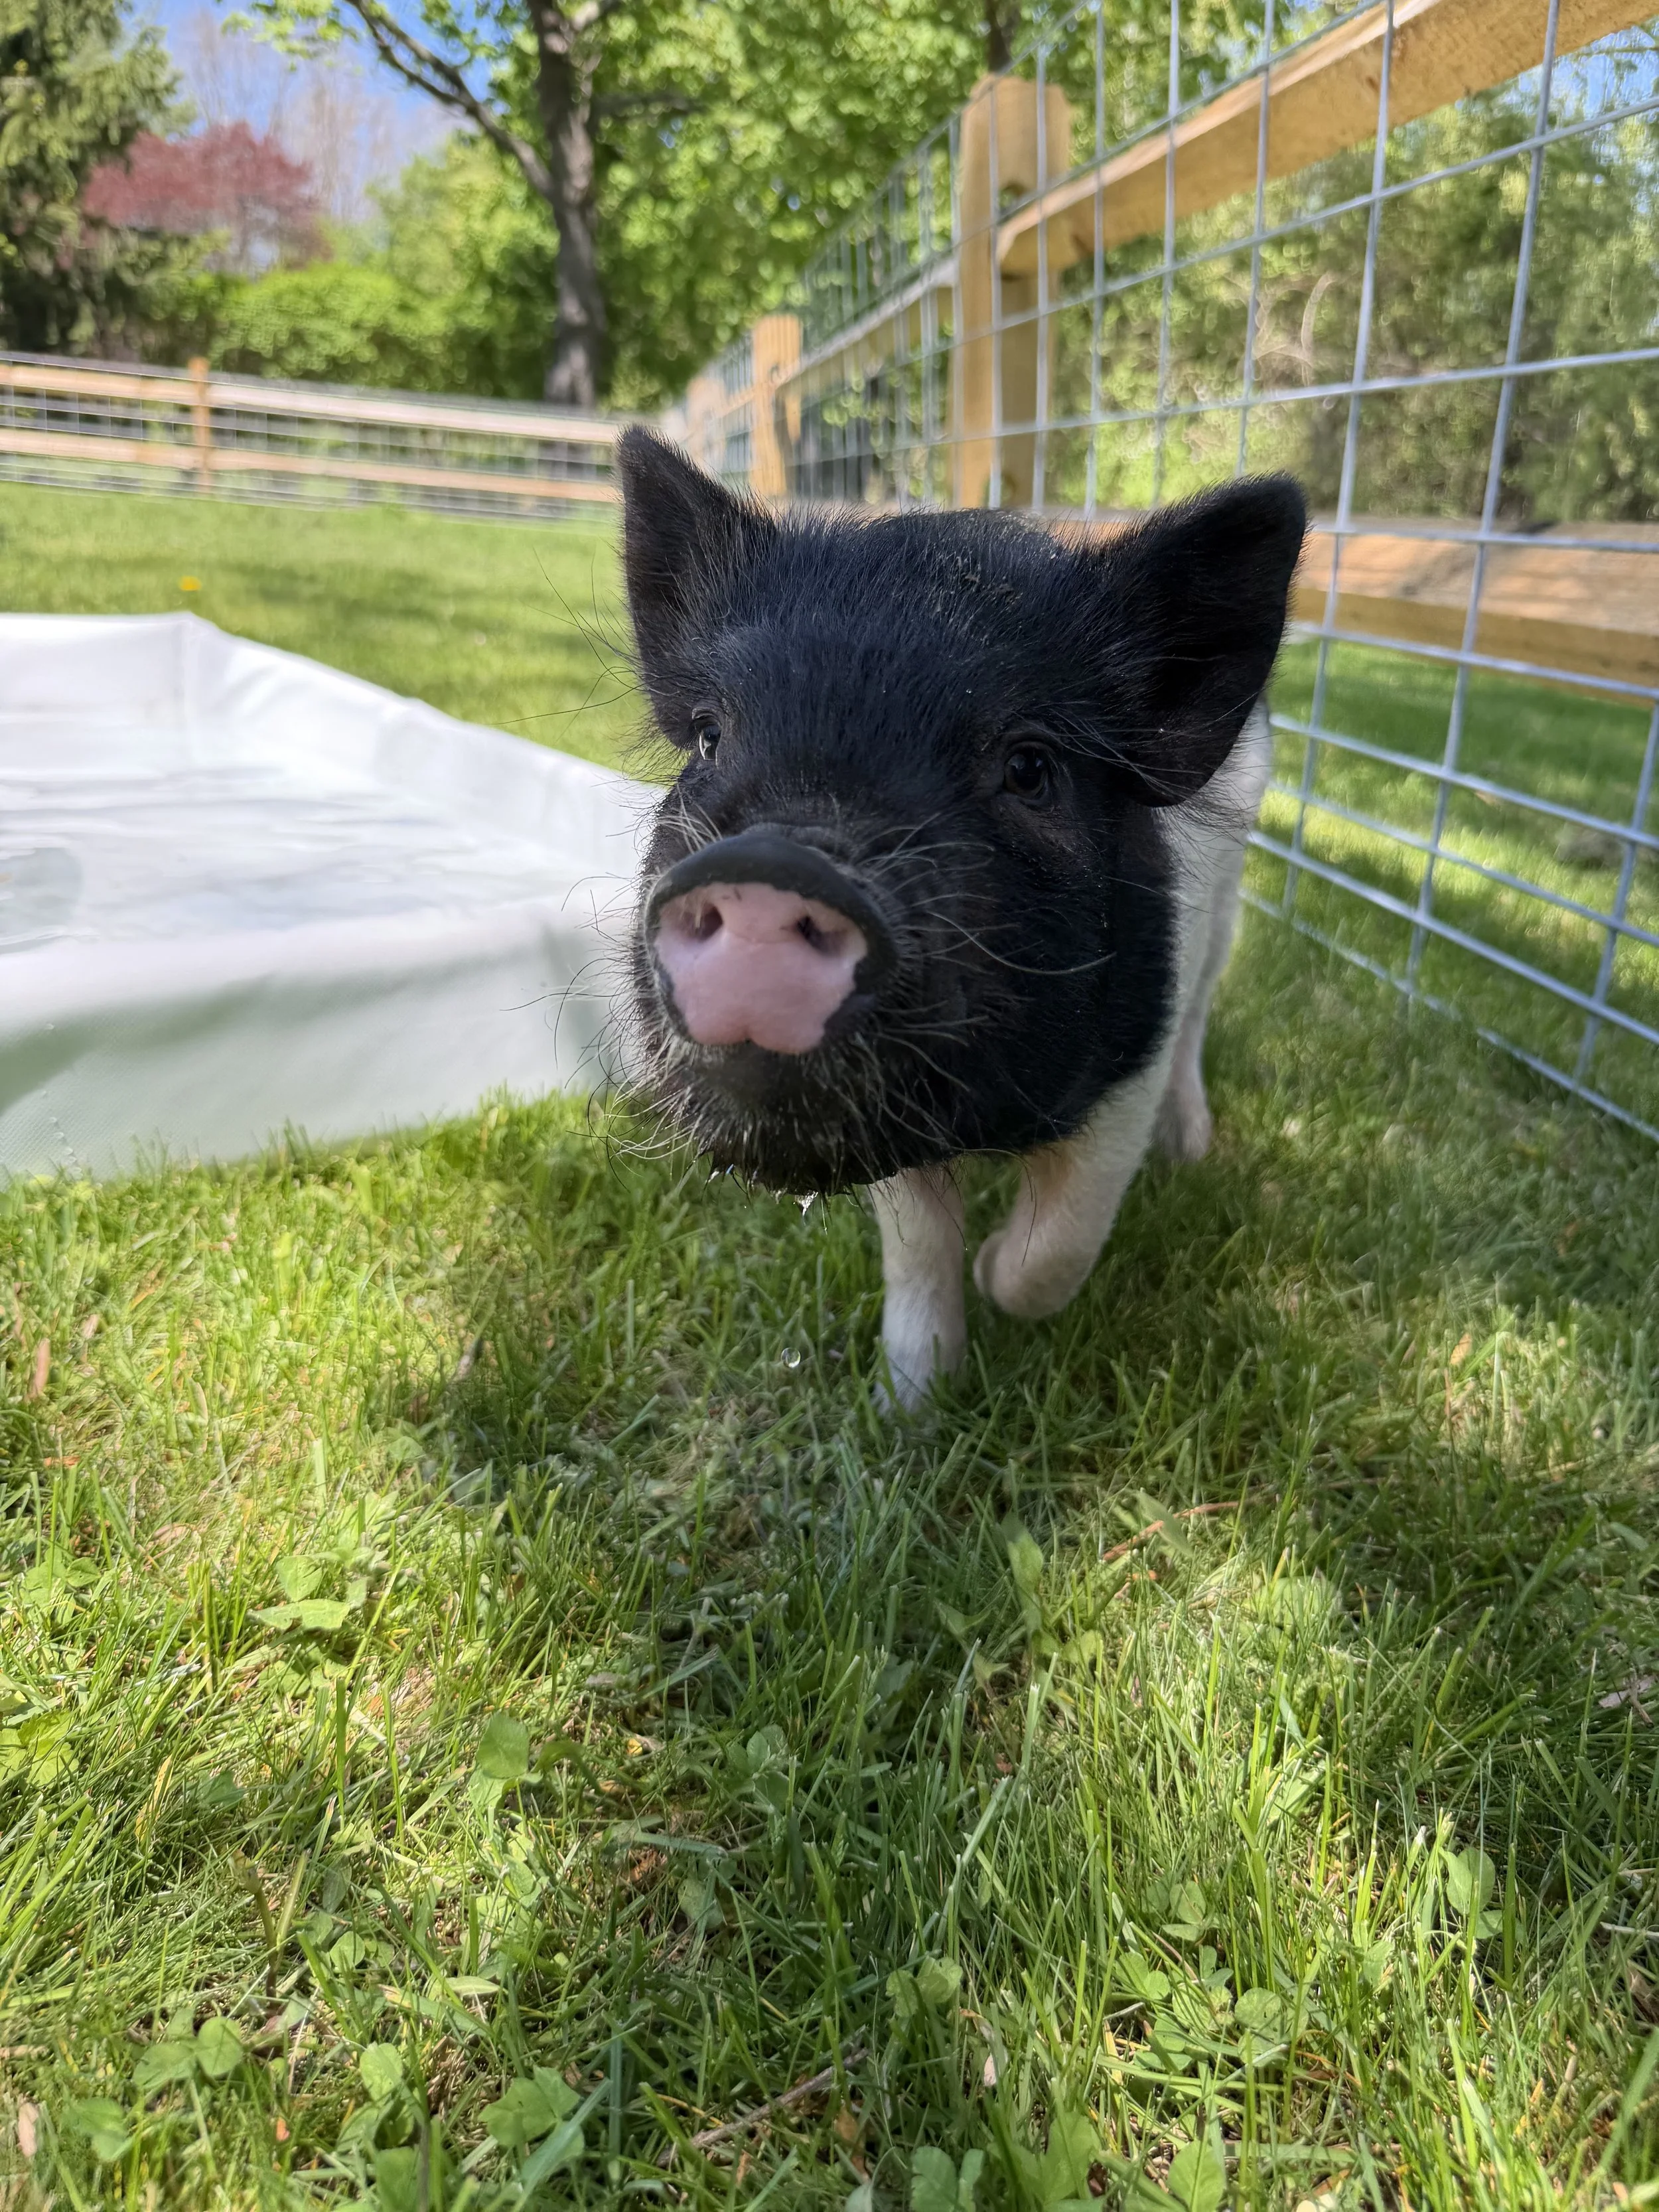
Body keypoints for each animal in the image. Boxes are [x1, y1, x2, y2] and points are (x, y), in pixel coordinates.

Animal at [617, 428, 1305, 1407]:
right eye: (712, 737)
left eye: (1029, 767)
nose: (770, 871)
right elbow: (916, 1250)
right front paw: (910, 1404)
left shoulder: (1133, 1059)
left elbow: (1058, 1243)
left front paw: (992, 1274)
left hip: (1221, 926)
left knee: (1203, 1022)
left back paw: (1192, 1150)